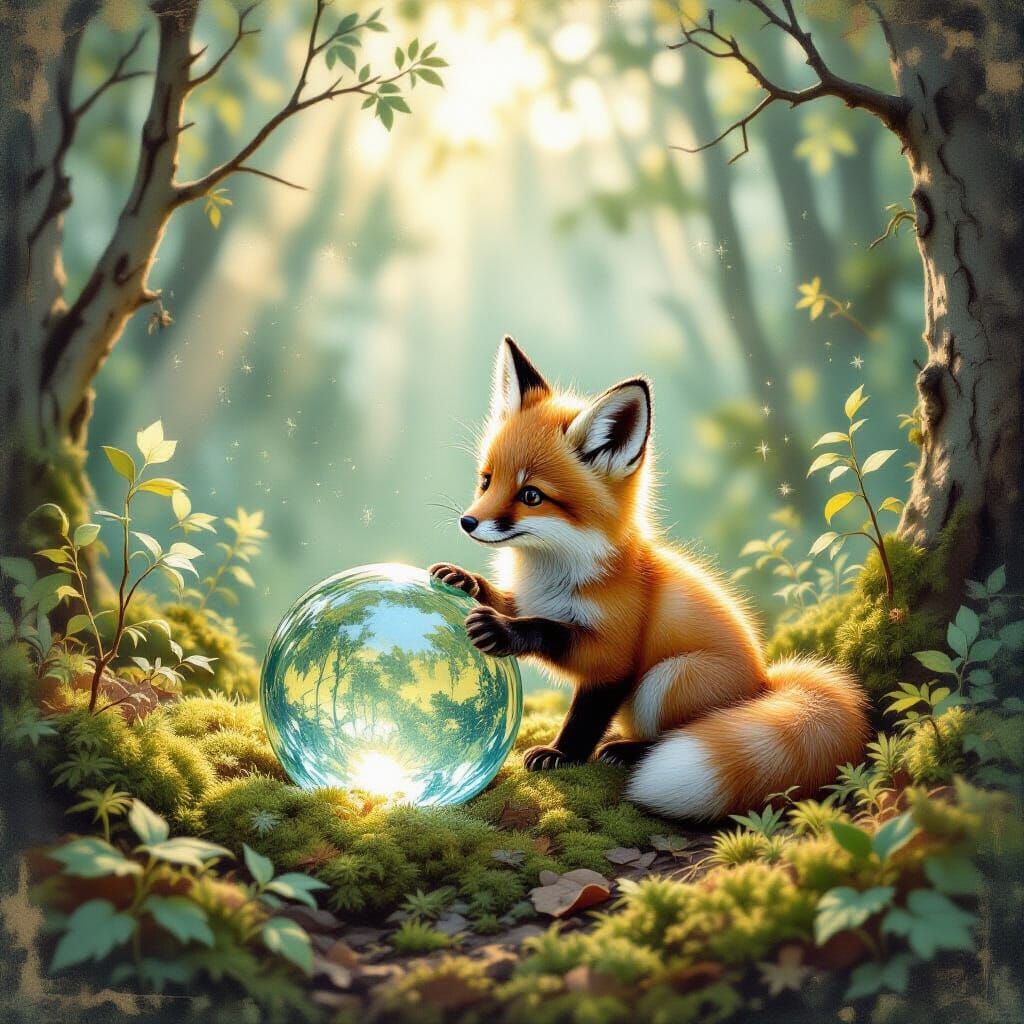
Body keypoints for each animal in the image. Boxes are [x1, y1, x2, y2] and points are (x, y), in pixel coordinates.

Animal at [430, 337, 868, 819]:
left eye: (531, 495)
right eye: (487, 481)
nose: (468, 522)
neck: (554, 572)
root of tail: (765, 684)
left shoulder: (613, 653)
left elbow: (564, 668)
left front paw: (560, 751)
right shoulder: (532, 598)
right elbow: (511, 602)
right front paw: (465, 581)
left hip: (666, 679)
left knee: (671, 733)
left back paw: (631, 752)